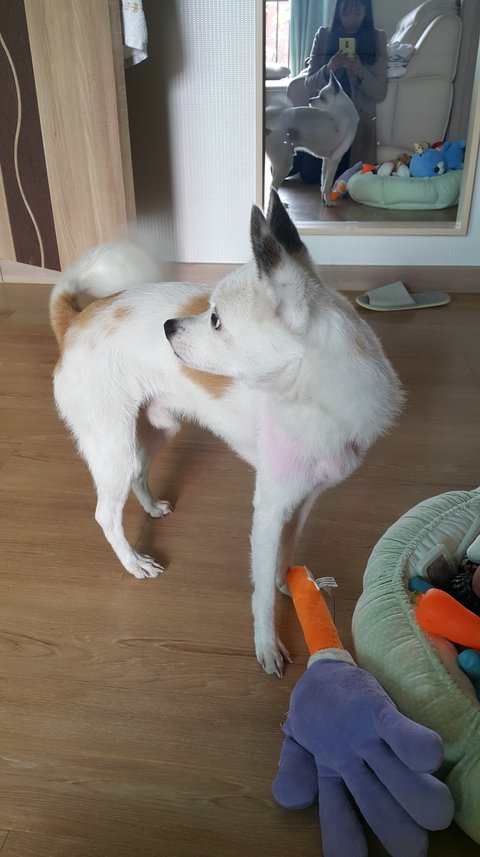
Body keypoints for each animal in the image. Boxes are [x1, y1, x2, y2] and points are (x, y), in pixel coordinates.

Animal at [50, 190, 403, 676]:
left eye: (215, 320)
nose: (167, 326)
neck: (310, 396)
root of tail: (75, 321)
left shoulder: (302, 499)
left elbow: (286, 551)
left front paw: (291, 584)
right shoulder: (269, 507)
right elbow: (260, 589)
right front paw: (267, 644)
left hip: (157, 428)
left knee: (140, 470)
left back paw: (151, 508)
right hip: (111, 445)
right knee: (107, 513)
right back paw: (133, 562)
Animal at [265, 72, 359, 204]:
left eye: (322, 97)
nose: (310, 99)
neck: (341, 108)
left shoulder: (326, 160)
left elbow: (323, 182)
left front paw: (324, 200)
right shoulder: (335, 159)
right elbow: (328, 184)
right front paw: (329, 202)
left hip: (278, 163)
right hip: (285, 163)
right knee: (272, 186)